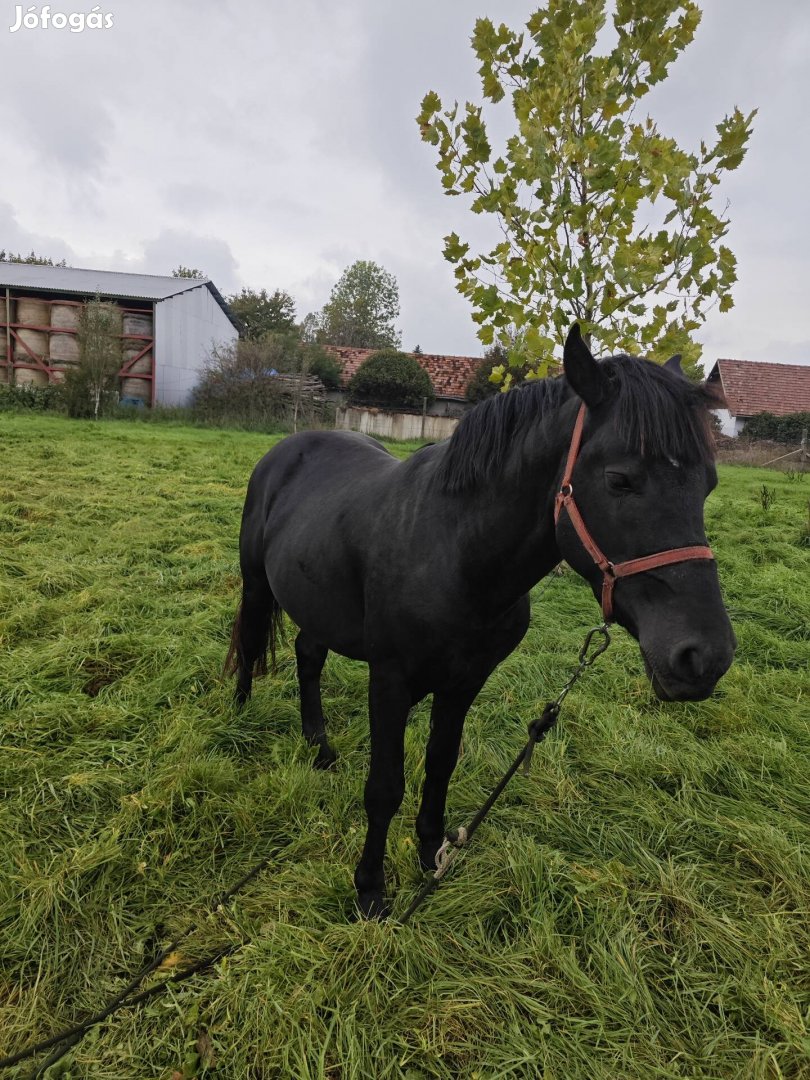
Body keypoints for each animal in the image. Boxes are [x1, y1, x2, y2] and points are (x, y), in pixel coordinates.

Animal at [226, 324, 734, 915]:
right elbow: (385, 786)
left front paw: (431, 855)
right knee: (251, 639)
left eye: (709, 483)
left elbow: (440, 763)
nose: (705, 657)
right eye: (619, 479)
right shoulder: (390, 679)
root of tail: (290, 447)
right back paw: (239, 719)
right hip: (257, 583)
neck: (454, 551)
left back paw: (320, 748)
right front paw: (371, 888)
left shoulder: (465, 682)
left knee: (308, 657)